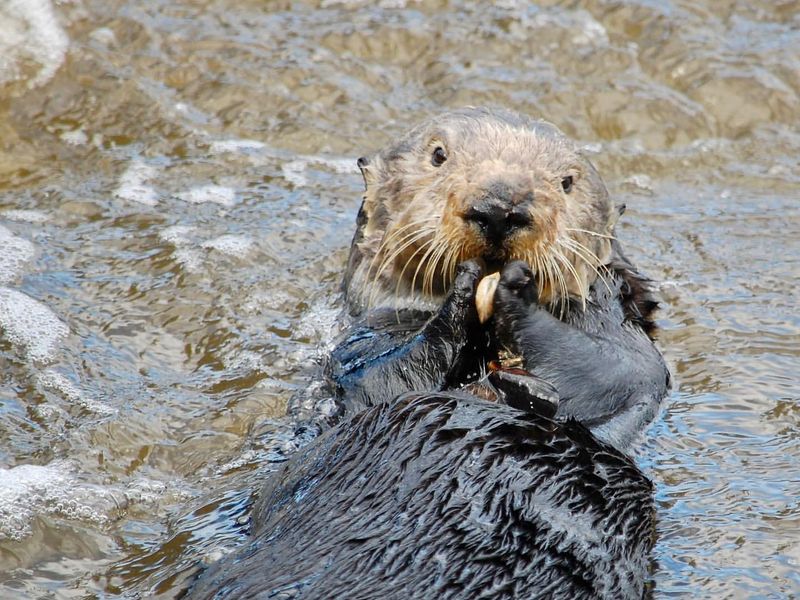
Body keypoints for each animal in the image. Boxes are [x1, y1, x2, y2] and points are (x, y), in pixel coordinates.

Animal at [189, 109, 668, 600]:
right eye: (438, 155)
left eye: (567, 182)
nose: (500, 206)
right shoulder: (359, 347)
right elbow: (382, 380)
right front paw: (464, 290)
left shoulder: (621, 336)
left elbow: (619, 370)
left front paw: (517, 301)